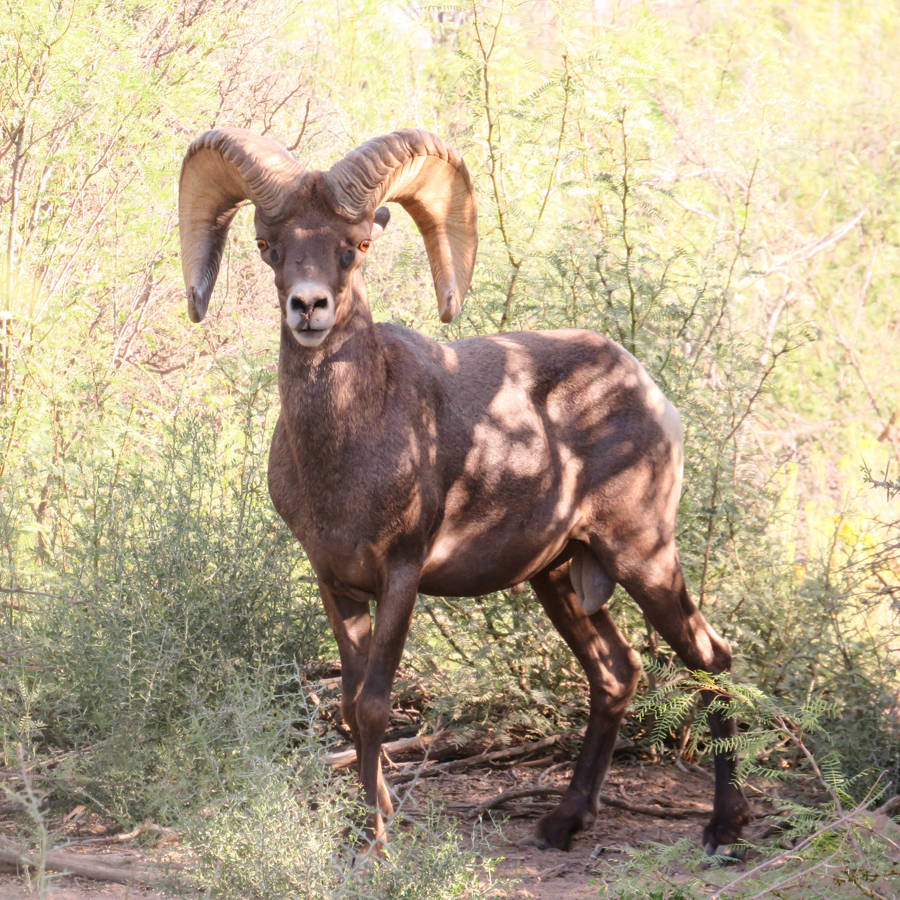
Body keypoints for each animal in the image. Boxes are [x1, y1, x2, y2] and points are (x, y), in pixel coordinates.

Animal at [179, 125, 748, 852]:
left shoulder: (401, 575)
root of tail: (650, 393)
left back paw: (725, 827)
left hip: (642, 555)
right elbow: (349, 703)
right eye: (268, 247)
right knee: (618, 673)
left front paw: (377, 840)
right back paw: (563, 823)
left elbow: (373, 706)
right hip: (558, 577)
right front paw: (370, 821)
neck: (348, 449)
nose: (308, 307)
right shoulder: (335, 583)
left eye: (356, 246)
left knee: (710, 661)